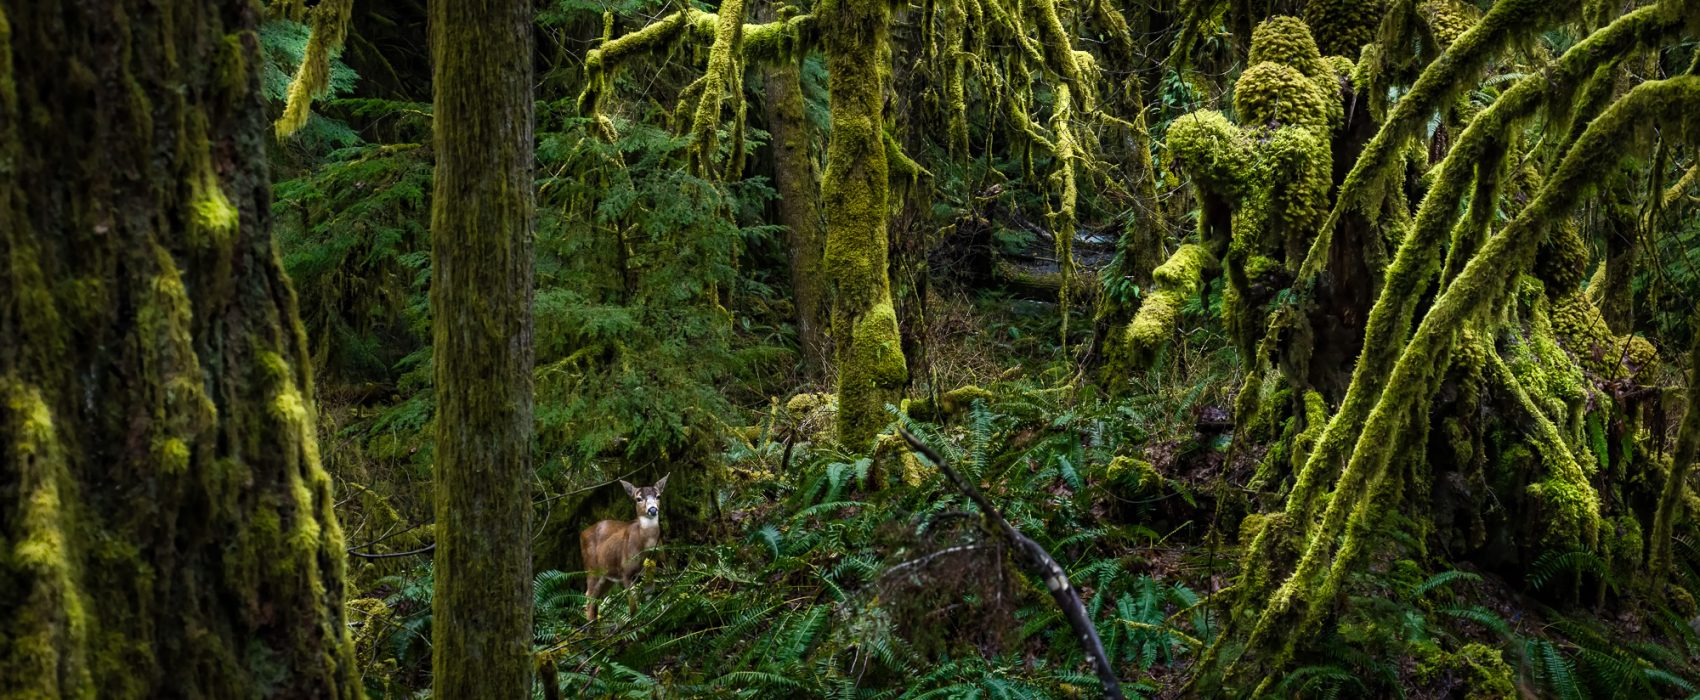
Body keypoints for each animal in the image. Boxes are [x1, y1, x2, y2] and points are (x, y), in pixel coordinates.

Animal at [580, 475, 668, 622]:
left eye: (658, 496)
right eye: (638, 498)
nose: (653, 510)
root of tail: (582, 534)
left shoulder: (651, 568)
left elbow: (649, 599)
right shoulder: (626, 571)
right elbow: (633, 606)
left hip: (607, 576)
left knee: (595, 599)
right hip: (591, 568)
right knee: (589, 597)